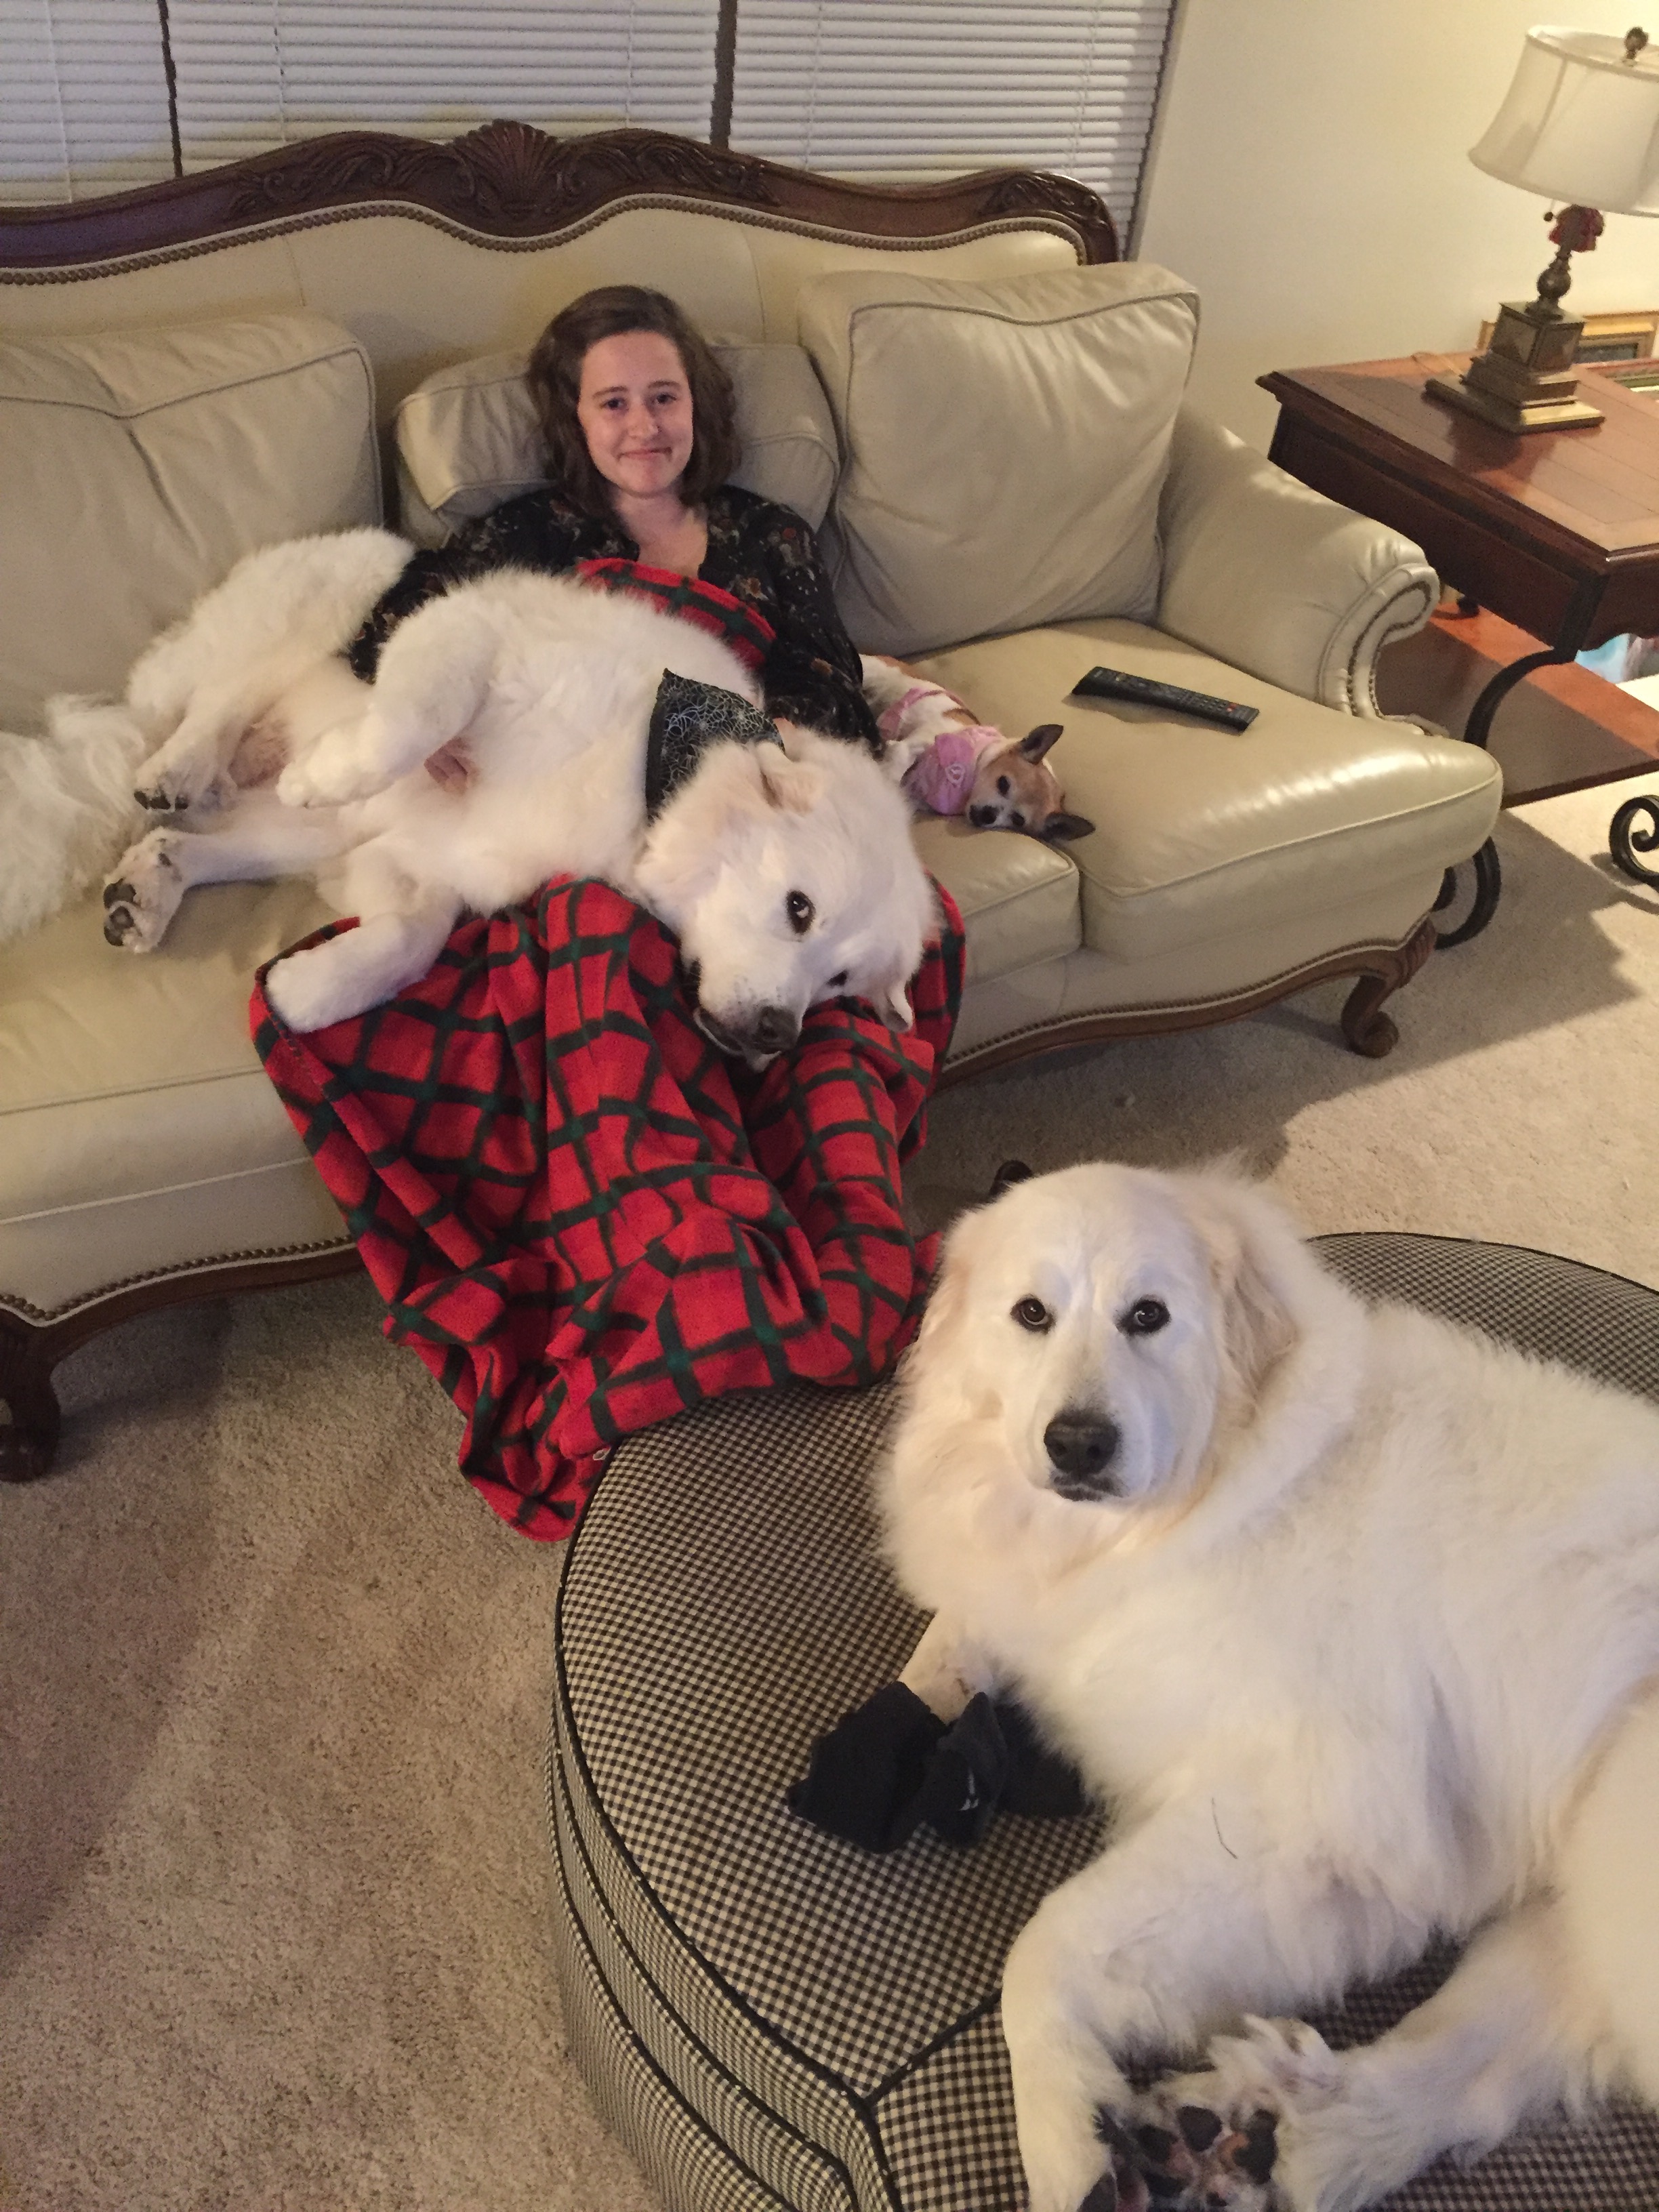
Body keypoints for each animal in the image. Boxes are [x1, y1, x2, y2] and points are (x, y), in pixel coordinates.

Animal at [97, 535, 937, 1052]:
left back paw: (146, 889)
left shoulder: (421, 861)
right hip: (338, 598)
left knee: (191, 841)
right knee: (217, 702)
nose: (775, 1034)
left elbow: (408, 943)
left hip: (309, 834)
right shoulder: (468, 632)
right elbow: (409, 725)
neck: (648, 774)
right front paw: (323, 771)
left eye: (839, 983)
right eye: (799, 909)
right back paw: (177, 773)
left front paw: (303, 988)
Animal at [862, 655, 1097, 844]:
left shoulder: (913, 797)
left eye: (1018, 820)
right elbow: (892, 775)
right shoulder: (908, 749)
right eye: (1003, 784)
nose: (988, 815)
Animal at [889, 1168, 1659, 2203]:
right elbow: (954, 1639)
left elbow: (1045, 1944)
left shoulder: (1293, 1816)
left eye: (1148, 1315)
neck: (1218, 1492)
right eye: (1031, 1315)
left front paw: (1064, 2144)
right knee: (1472, 2069)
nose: (1079, 1444)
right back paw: (1275, 2125)